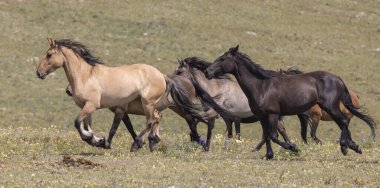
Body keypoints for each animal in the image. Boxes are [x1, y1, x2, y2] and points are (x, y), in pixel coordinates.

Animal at [203, 45, 376, 159]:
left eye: (223, 58)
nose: (207, 72)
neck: (261, 86)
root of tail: (338, 79)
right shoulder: (262, 117)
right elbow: (267, 136)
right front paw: (269, 155)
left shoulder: (273, 114)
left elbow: (273, 136)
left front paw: (294, 148)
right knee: (343, 123)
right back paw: (354, 147)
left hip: (330, 107)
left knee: (344, 122)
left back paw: (345, 147)